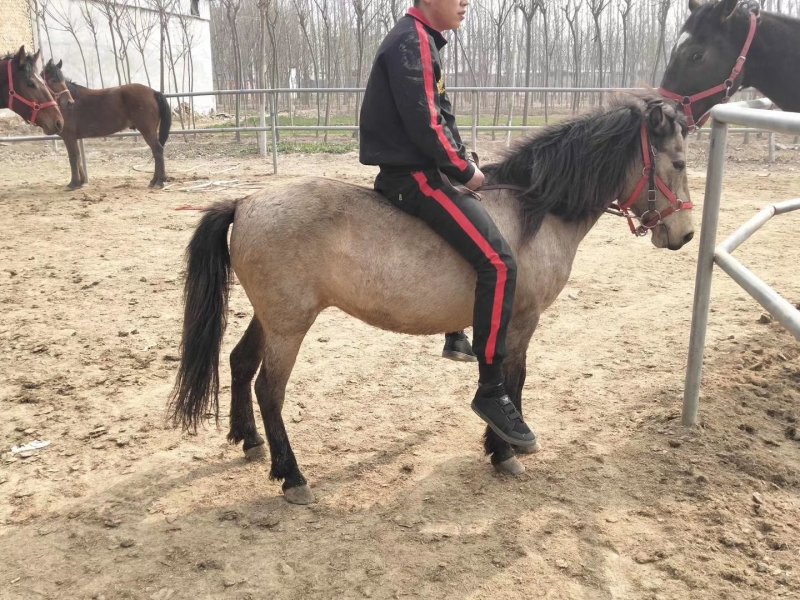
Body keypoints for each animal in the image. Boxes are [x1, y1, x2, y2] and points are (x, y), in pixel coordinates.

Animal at [41, 60, 172, 189]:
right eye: (53, 80)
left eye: (61, 80)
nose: (69, 102)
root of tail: (153, 92)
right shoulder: (73, 138)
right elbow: (78, 158)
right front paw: (81, 182)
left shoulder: (69, 137)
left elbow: (73, 158)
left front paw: (73, 183)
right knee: (156, 151)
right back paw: (154, 181)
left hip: (147, 131)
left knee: (157, 150)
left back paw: (159, 182)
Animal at [168, 94, 695, 504]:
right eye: (680, 162)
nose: (686, 234)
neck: (532, 208)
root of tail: (245, 203)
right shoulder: (521, 319)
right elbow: (511, 378)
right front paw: (506, 446)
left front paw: (497, 445)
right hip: (289, 325)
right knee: (269, 390)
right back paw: (292, 476)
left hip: (273, 316)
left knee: (239, 362)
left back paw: (250, 441)